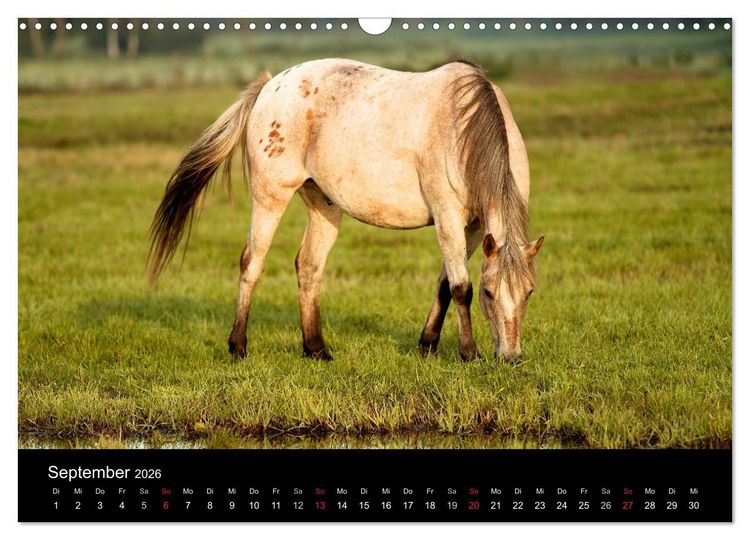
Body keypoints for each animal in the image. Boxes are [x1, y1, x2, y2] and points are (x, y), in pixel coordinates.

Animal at [148, 58, 544, 363]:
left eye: (529, 292)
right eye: (489, 293)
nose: (510, 357)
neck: (464, 131)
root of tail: (270, 86)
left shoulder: (474, 227)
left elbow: (445, 283)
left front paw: (428, 345)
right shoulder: (447, 216)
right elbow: (461, 286)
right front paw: (468, 353)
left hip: (324, 206)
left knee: (309, 266)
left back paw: (316, 349)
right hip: (270, 197)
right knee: (252, 263)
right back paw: (238, 347)